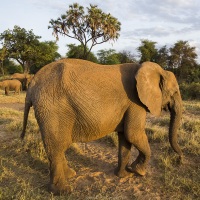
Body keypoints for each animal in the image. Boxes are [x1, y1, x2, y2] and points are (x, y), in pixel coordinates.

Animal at [21, 58, 183, 195]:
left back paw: (70, 174)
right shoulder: (135, 102)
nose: (180, 157)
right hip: (52, 108)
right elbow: (133, 134)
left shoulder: (130, 105)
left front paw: (125, 175)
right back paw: (63, 191)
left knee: (60, 146)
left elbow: (125, 138)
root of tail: (33, 84)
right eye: (174, 92)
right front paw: (139, 172)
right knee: (56, 146)